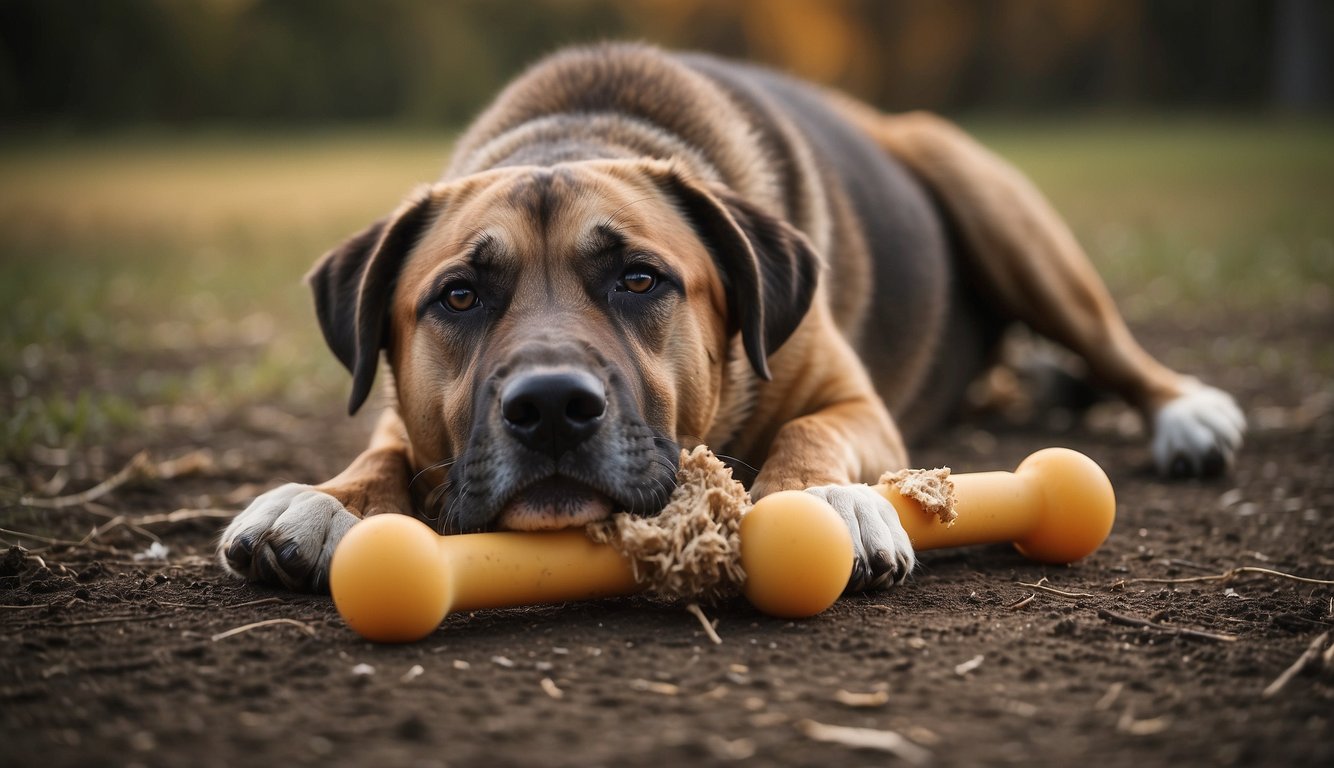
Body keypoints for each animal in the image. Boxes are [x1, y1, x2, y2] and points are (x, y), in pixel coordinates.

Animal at [213, 42, 1243, 594]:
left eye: (639, 279)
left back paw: (1186, 412)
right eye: (459, 297)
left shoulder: (853, 403)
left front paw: (820, 503)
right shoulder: (404, 414)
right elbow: (383, 448)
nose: (549, 409)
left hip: (993, 202)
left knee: (1110, 343)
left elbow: (812, 439)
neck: (580, 132)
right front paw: (323, 500)